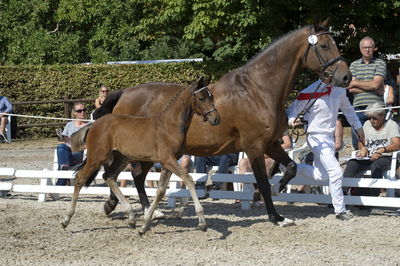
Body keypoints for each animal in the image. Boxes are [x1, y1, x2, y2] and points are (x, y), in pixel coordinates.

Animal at [63, 77, 220, 233]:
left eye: (211, 96)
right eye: (201, 98)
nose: (216, 119)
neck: (170, 125)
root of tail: (93, 125)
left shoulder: (169, 162)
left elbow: (161, 190)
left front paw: (145, 224)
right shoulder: (168, 160)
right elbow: (188, 180)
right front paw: (202, 222)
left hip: (121, 157)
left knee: (109, 177)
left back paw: (131, 217)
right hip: (97, 156)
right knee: (80, 179)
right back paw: (66, 219)